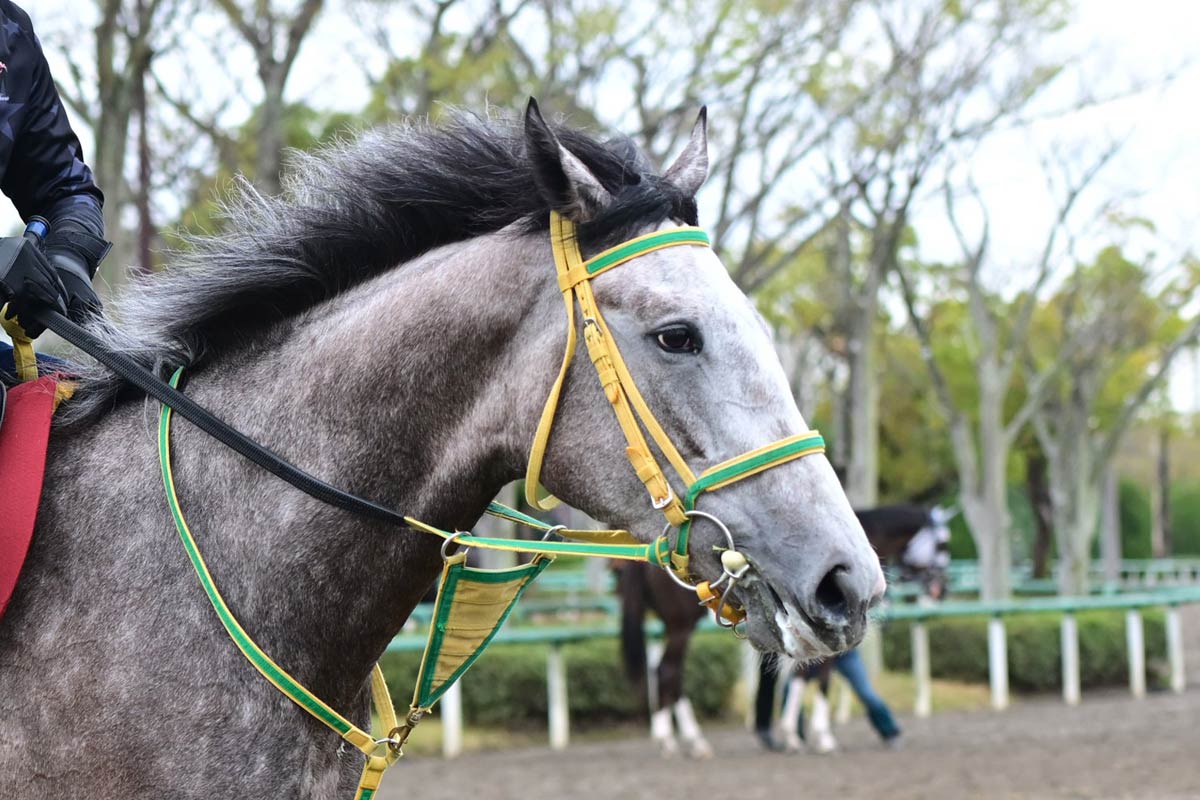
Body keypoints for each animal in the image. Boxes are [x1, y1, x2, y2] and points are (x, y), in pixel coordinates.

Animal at [619, 503, 949, 757]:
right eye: (941, 545)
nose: (941, 589)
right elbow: (819, 679)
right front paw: (815, 736)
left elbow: (801, 676)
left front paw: (795, 733)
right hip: (681, 626)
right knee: (667, 672)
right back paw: (684, 741)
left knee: (665, 674)